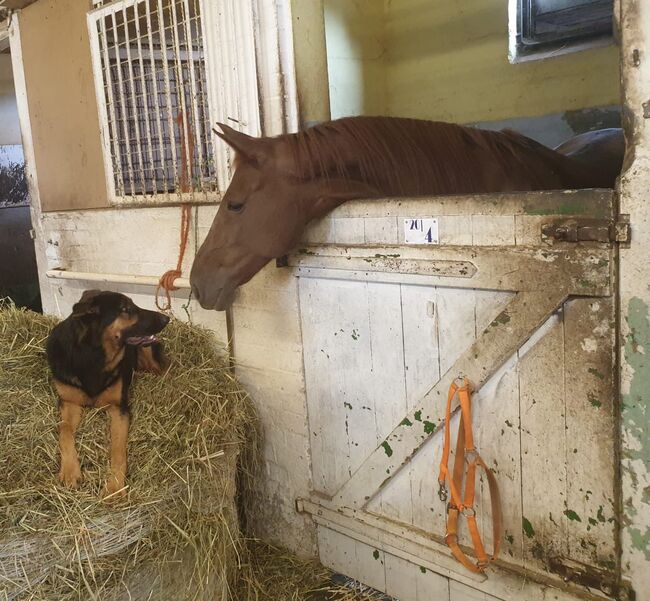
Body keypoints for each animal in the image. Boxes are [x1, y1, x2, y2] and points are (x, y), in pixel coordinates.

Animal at [46, 288, 170, 494]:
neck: (93, 357)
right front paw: (70, 471)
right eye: (126, 309)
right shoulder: (69, 403)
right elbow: (64, 431)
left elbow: (118, 449)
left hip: (147, 351)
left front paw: (114, 488)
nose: (166, 318)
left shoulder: (119, 409)